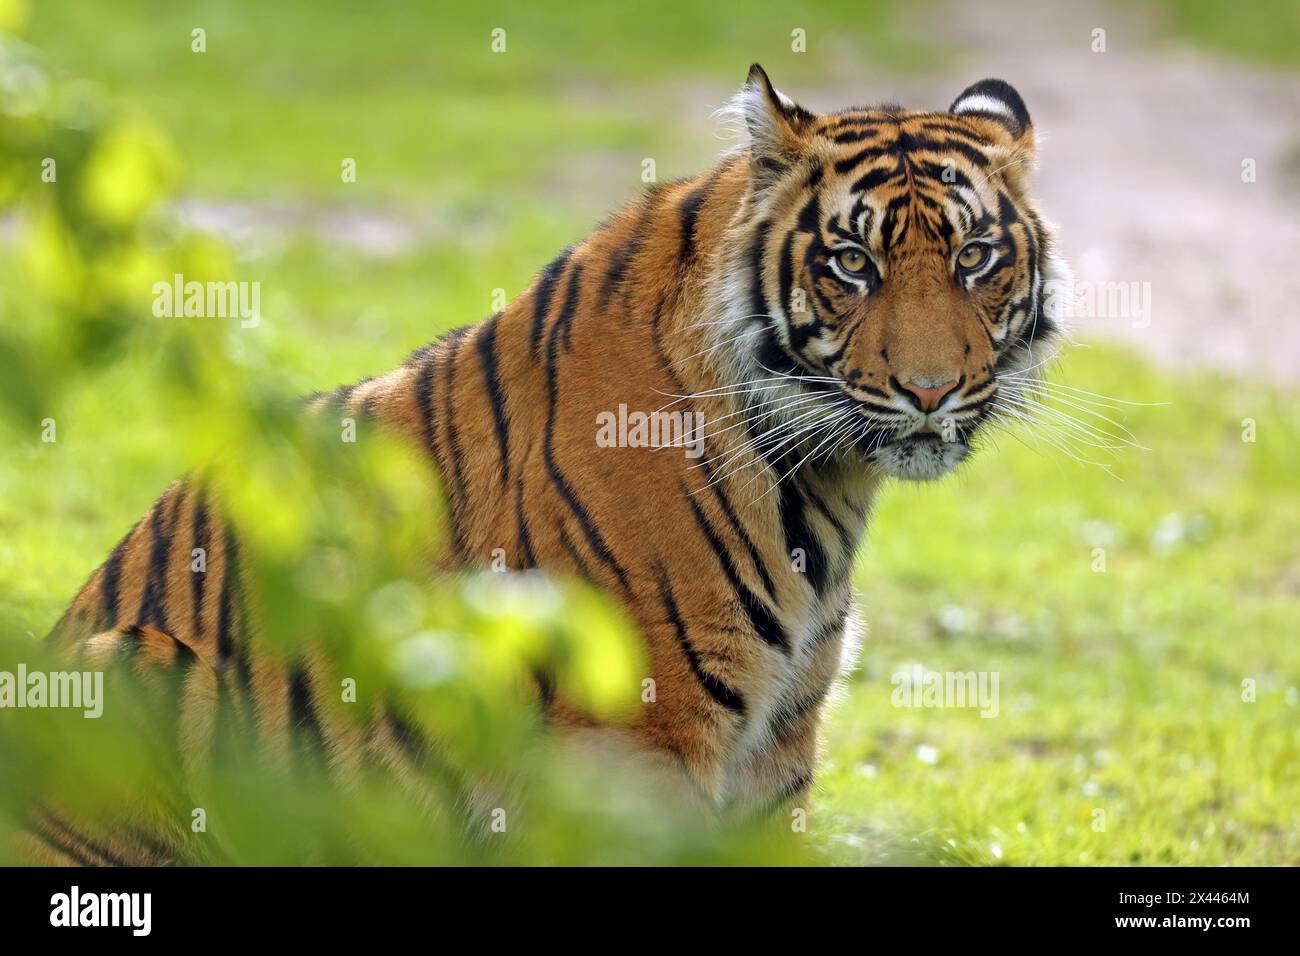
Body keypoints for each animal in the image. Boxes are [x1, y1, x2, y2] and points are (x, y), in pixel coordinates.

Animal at [22, 63, 1066, 863]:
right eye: (852, 263)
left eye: (976, 257)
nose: (931, 390)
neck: (824, 482)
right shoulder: (637, 739)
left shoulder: (780, 742)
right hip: (129, 666)